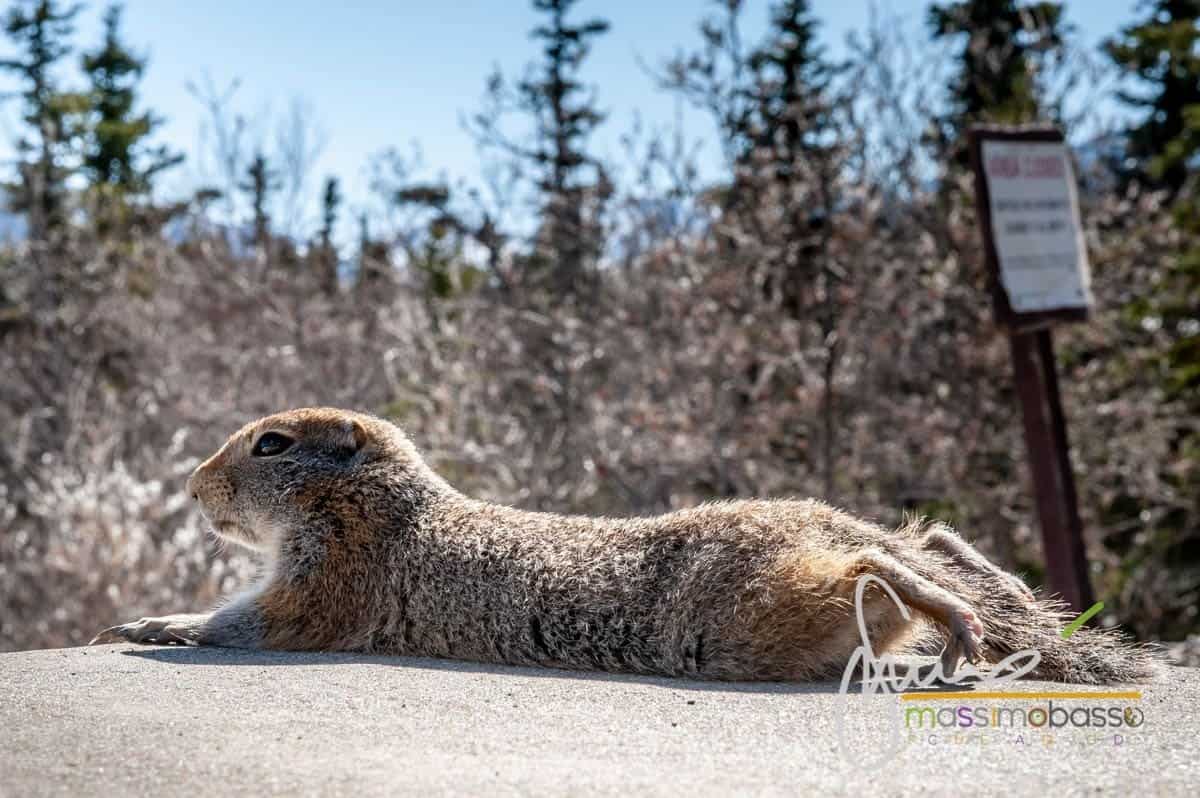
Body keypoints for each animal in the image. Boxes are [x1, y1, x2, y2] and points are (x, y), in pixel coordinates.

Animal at [92, 407, 1159, 684]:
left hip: (763, 609)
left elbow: (252, 621)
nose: (192, 485)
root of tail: (816, 519)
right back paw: (974, 583)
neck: (379, 504)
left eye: (270, 446)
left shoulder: (328, 583)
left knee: (871, 572)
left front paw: (149, 623)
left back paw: (953, 616)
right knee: (923, 534)